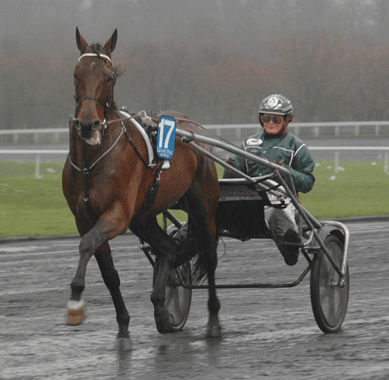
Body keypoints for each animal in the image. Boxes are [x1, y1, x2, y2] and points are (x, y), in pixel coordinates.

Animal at [62, 27, 221, 348]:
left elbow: (86, 245)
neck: (91, 162)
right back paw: (162, 310)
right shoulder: (84, 217)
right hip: (143, 216)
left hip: (202, 205)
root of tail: (191, 128)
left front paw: (75, 302)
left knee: (209, 256)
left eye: (109, 77)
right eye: (76, 73)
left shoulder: (117, 214)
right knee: (169, 248)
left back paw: (212, 322)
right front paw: (123, 326)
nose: (87, 124)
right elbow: (108, 272)